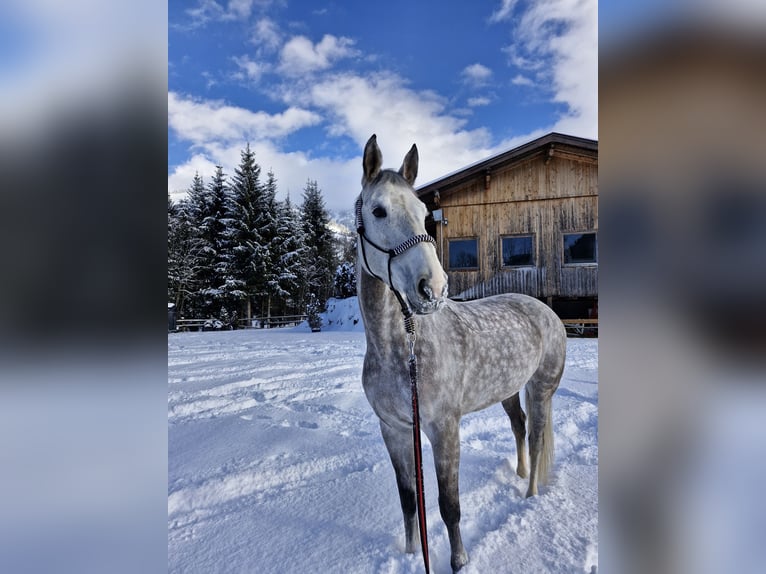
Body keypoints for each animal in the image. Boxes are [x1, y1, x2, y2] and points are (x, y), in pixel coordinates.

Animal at [356, 135, 567, 572]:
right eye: (378, 210)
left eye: (424, 214)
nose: (432, 288)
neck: (399, 349)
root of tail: (546, 311)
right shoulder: (394, 429)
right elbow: (409, 500)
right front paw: (410, 554)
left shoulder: (443, 429)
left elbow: (448, 505)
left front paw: (459, 561)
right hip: (509, 391)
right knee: (519, 427)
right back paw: (519, 473)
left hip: (540, 390)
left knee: (537, 437)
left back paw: (530, 494)